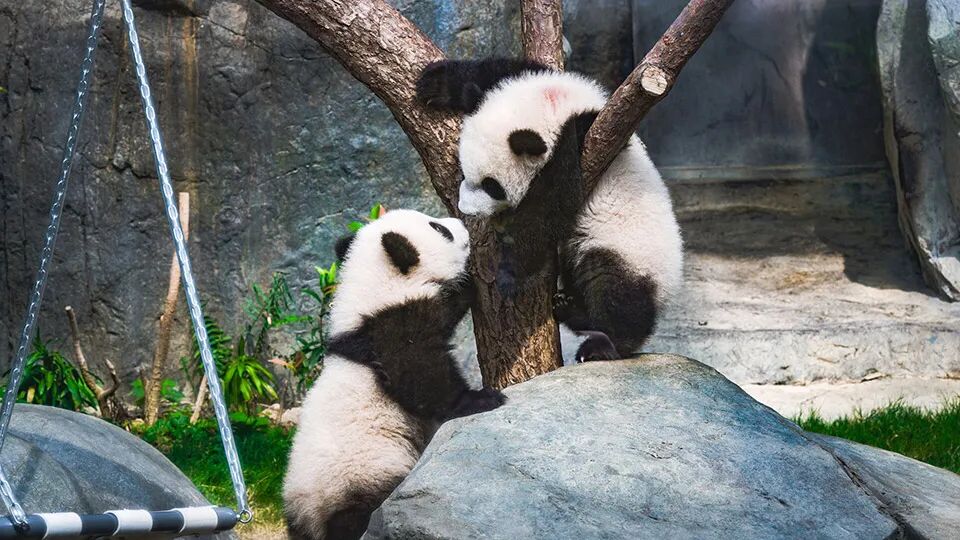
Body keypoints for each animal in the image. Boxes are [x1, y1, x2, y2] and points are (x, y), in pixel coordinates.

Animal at [283, 209, 506, 540]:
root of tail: (313, 518)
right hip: (364, 472)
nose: (462, 223)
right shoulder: (391, 328)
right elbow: (418, 375)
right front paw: (479, 399)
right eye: (439, 228)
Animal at [417, 58, 684, 364]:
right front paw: (435, 83)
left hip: (631, 252)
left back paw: (600, 344)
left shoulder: (584, 141)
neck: (556, 105)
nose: (465, 210)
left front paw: (509, 274)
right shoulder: (535, 78)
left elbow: (550, 207)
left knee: (617, 293)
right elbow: (493, 70)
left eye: (491, 186)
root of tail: (666, 289)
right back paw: (569, 307)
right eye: (463, 173)